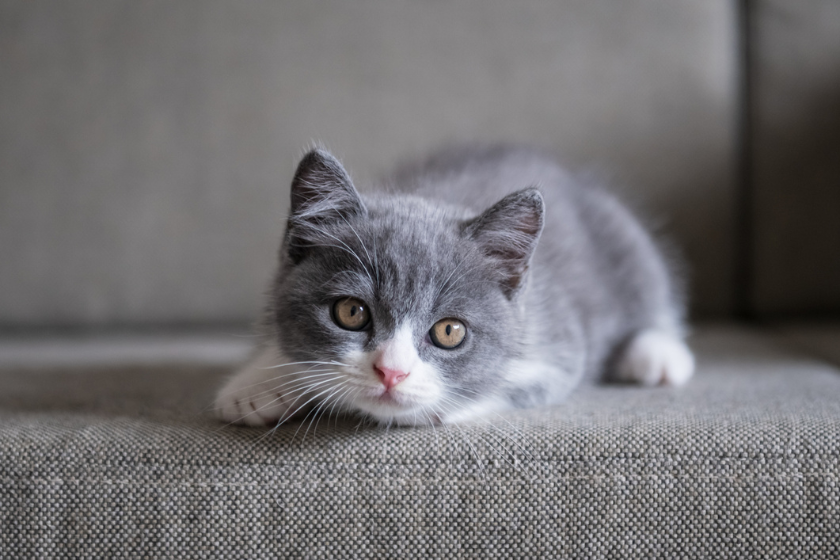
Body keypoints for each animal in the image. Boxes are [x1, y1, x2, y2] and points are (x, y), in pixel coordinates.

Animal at [217, 147, 696, 426]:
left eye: (450, 331)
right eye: (351, 312)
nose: (392, 372)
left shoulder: (558, 343)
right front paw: (256, 384)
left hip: (628, 239)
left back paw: (656, 353)